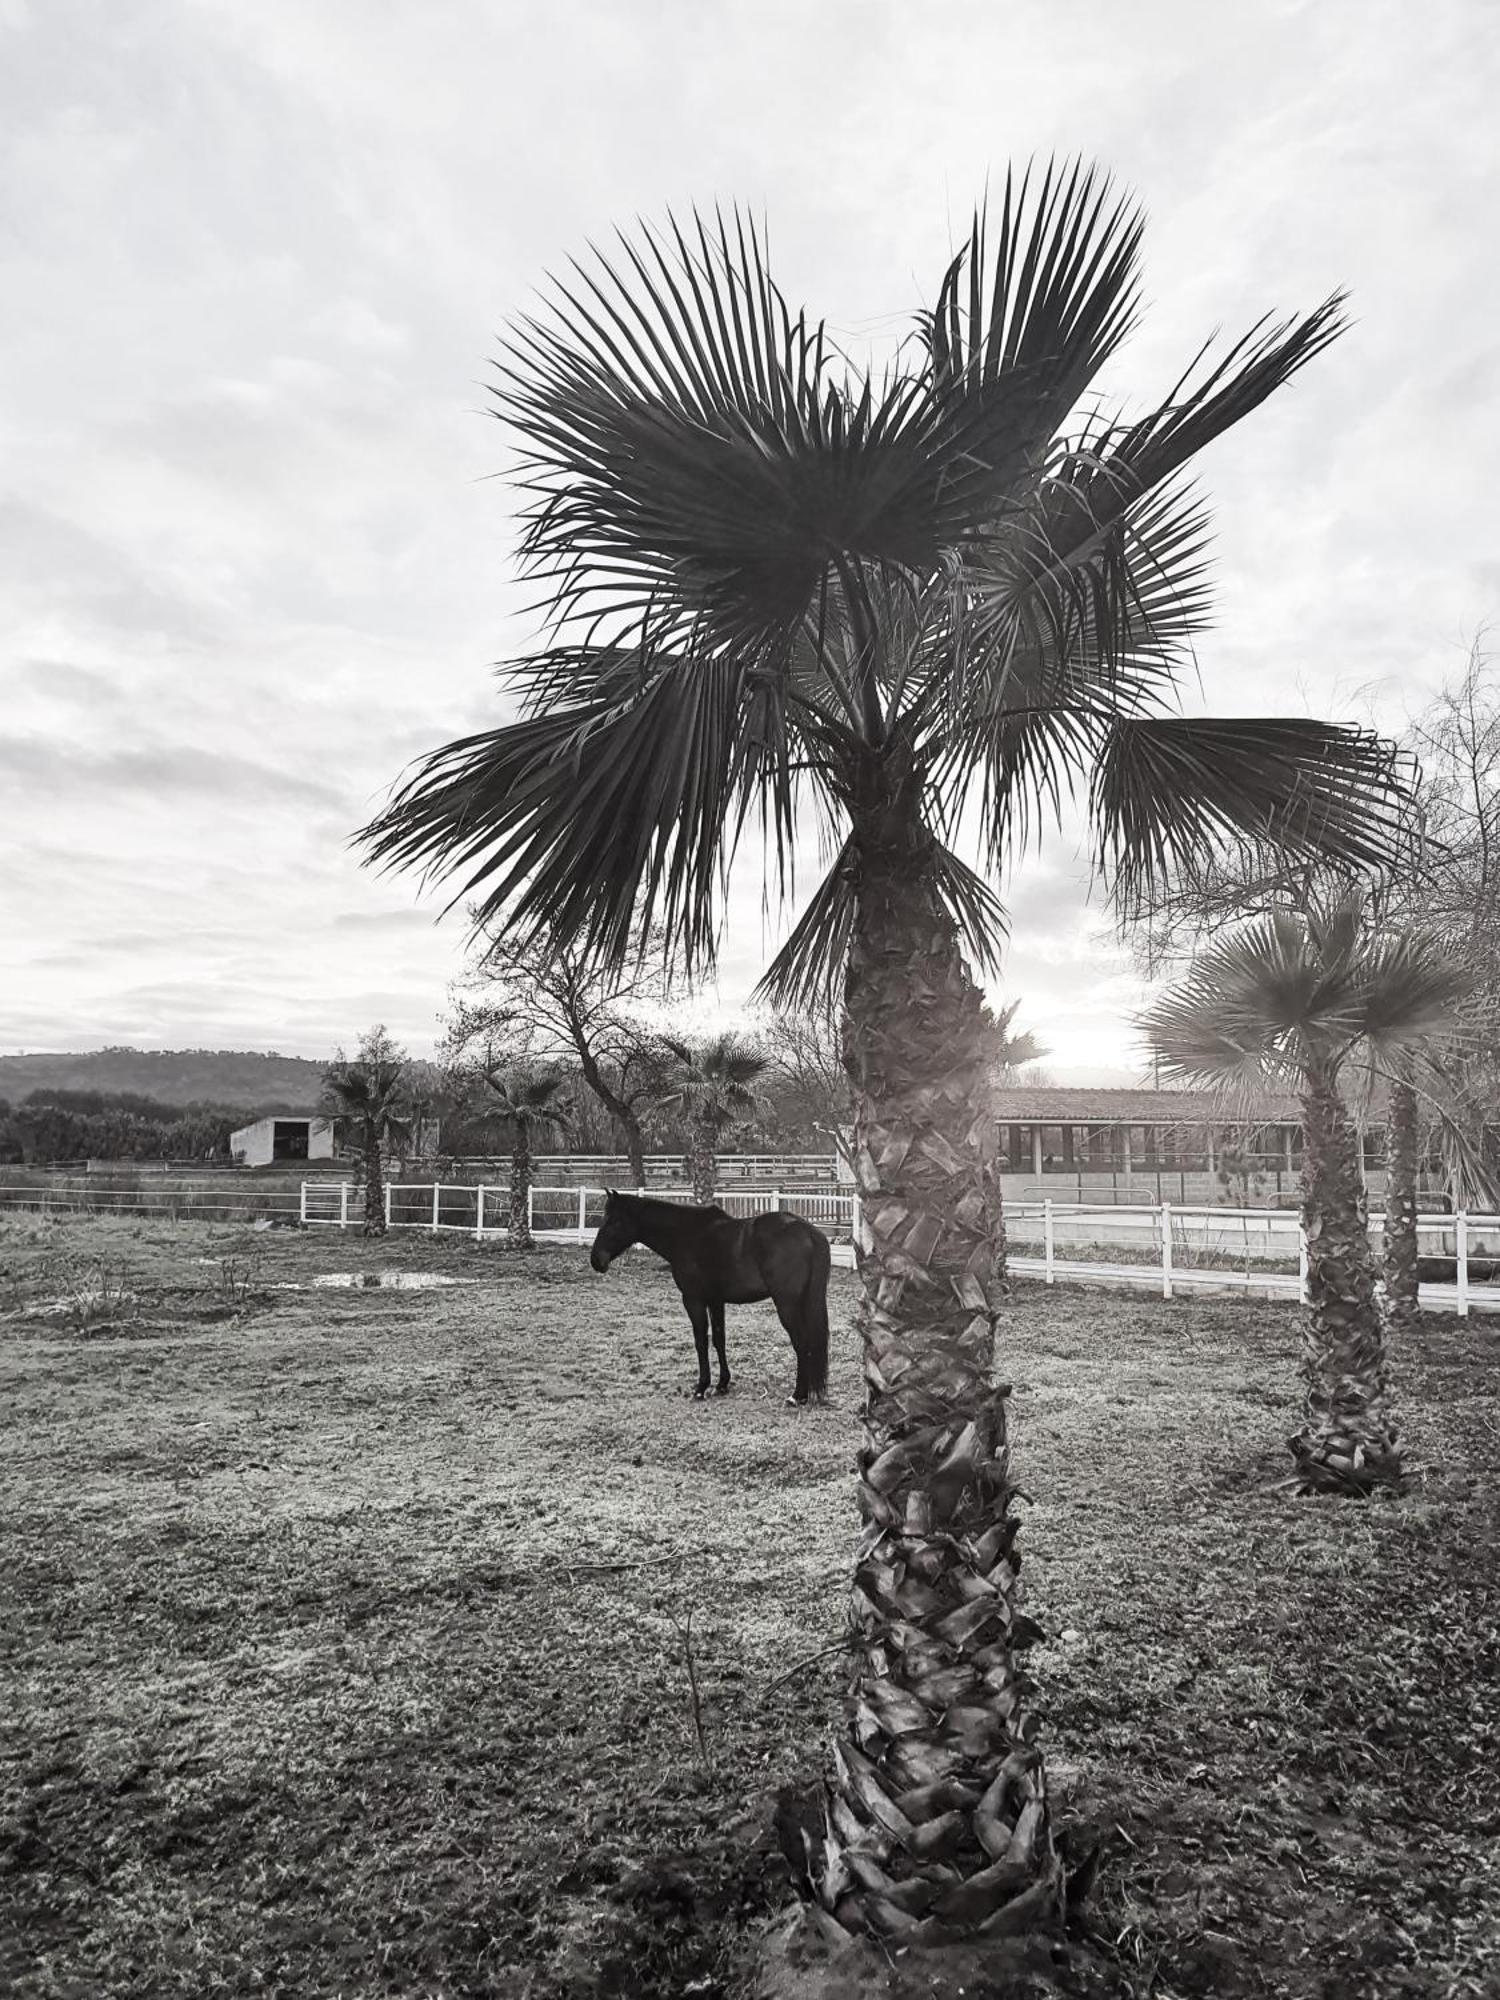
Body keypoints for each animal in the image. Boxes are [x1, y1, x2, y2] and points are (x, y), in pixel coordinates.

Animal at [592, 1184, 836, 1408]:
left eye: (614, 1221)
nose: (596, 1260)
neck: (684, 1234)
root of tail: (809, 1232)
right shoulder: (715, 1301)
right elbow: (719, 1339)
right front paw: (722, 1384)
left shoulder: (693, 1300)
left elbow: (701, 1341)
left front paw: (701, 1387)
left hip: (787, 1304)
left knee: (802, 1343)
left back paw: (797, 1395)